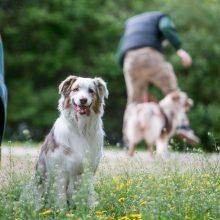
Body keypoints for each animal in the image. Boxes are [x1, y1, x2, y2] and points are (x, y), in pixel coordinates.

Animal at [35, 75, 108, 209]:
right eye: (75, 89)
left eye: (91, 91)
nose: (83, 100)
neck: (81, 129)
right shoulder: (61, 170)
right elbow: (61, 197)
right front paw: (62, 211)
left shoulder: (90, 167)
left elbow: (88, 193)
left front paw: (89, 210)